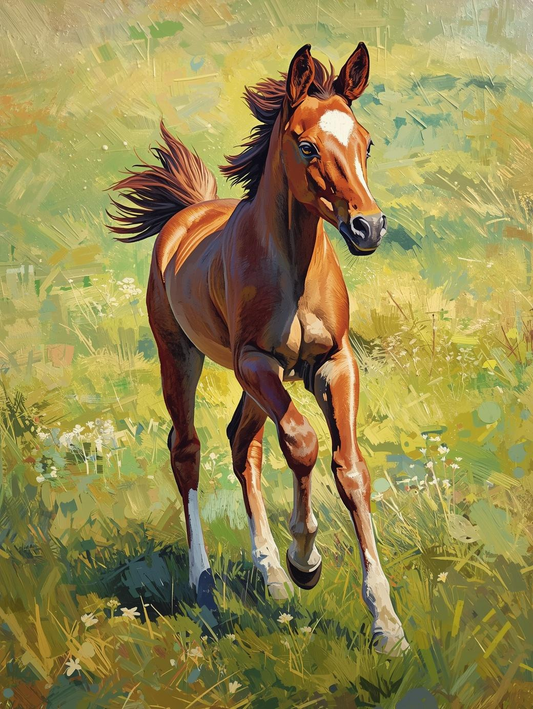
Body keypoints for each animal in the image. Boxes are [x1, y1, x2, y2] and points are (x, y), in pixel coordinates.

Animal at [108, 43, 408, 655]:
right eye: (307, 144)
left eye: (366, 142)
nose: (368, 227)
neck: (293, 268)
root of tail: (189, 210)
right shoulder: (255, 361)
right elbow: (303, 443)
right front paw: (306, 560)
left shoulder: (333, 362)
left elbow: (349, 469)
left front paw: (386, 623)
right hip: (183, 356)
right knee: (188, 450)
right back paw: (206, 590)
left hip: (257, 383)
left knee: (242, 442)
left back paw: (270, 575)